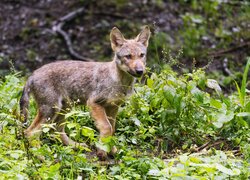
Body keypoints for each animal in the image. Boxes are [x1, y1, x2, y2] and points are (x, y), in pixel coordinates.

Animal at [20, 25, 150, 159]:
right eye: (128, 56)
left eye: (141, 55)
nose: (140, 71)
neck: (119, 82)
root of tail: (32, 75)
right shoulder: (93, 103)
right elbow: (107, 127)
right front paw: (102, 151)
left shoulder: (113, 107)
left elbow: (112, 130)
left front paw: (112, 149)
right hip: (52, 110)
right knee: (30, 132)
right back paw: (40, 156)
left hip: (64, 108)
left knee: (55, 130)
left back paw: (76, 146)